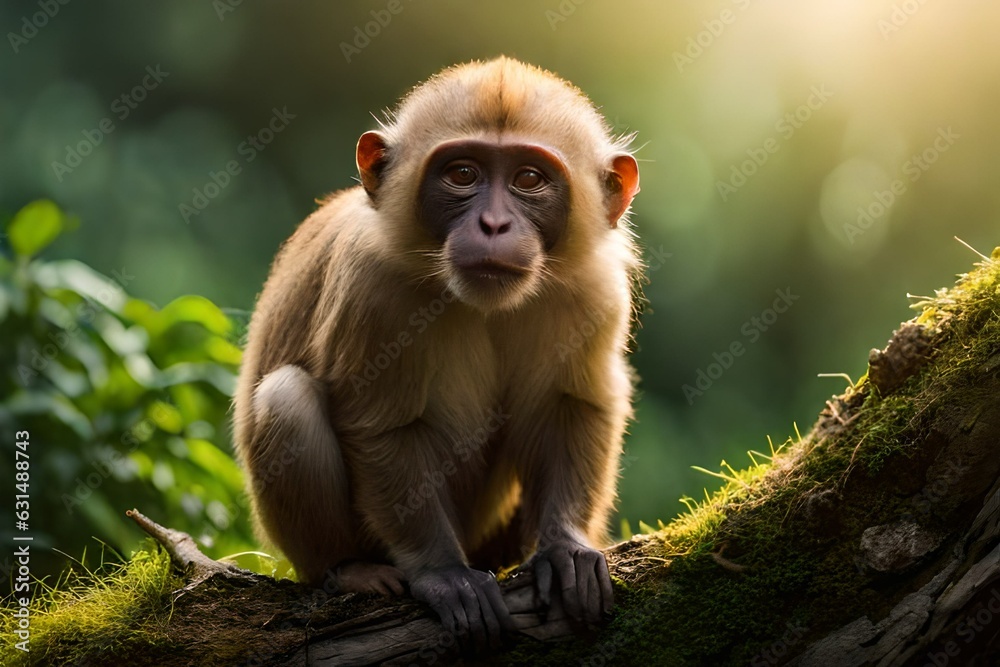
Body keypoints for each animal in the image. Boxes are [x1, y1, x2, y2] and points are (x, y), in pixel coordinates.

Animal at [232, 56, 641, 648]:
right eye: (463, 175)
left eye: (529, 179)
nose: (493, 225)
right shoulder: (371, 285)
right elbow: (382, 426)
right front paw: (443, 572)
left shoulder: (593, 287)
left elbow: (571, 403)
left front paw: (565, 546)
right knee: (286, 399)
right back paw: (348, 569)